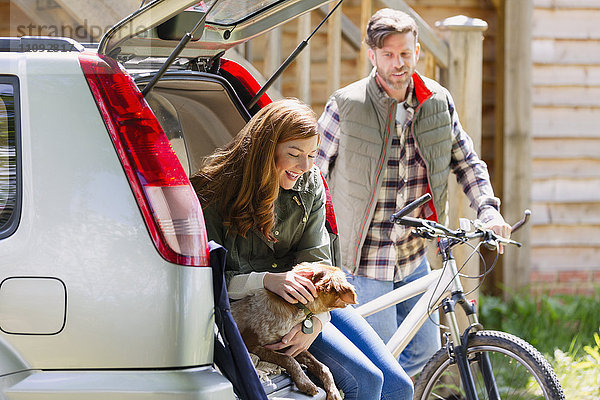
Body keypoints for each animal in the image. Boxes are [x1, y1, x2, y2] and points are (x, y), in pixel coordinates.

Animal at [231, 262, 356, 400]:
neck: (296, 308)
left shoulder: (291, 345)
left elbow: (322, 366)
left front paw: (333, 392)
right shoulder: (251, 344)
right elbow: (288, 359)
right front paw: (306, 383)